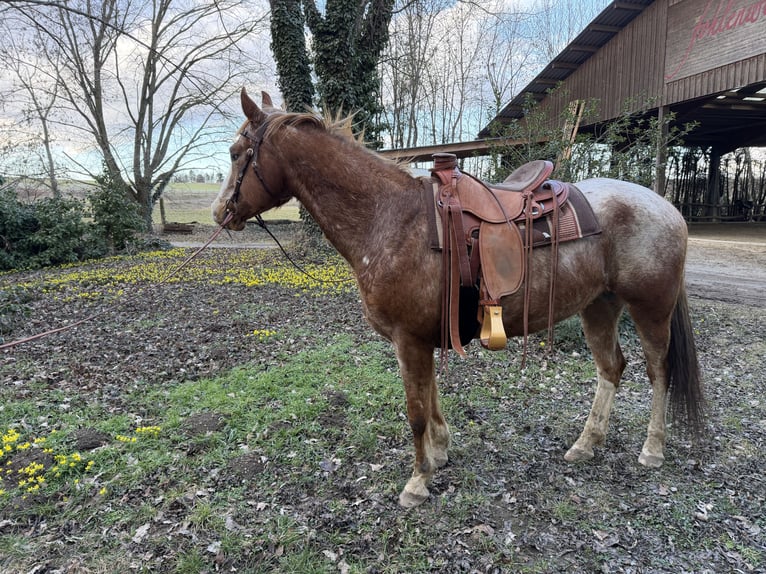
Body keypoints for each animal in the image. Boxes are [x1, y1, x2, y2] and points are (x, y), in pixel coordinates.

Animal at [211, 88, 705, 508]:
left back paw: (652, 449)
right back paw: (586, 444)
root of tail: (668, 207)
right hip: (599, 306)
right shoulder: (421, 338)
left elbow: (415, 410)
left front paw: (417, 481)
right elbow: (431, 397)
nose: (220, 212)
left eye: (237, 154)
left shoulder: (409, 339)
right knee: (611, 368)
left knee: (659, 371)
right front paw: (440, 453)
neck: (388, 218)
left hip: (650, 309)